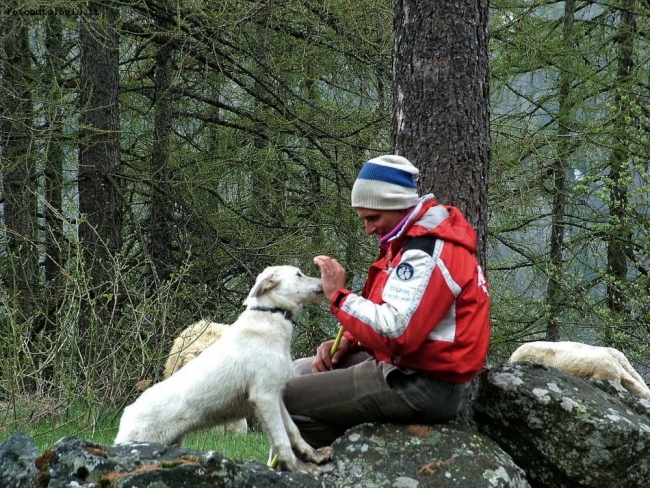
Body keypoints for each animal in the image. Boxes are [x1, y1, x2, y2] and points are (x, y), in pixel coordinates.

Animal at [112, 264, 332, 474]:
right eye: (298, 274)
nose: (324, 282)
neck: (270, 315)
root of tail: (127, 413)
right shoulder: (265, 396)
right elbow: (282, 440)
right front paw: (299, 468)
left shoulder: (276, 396)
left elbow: (293, 431)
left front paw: (312, 455)